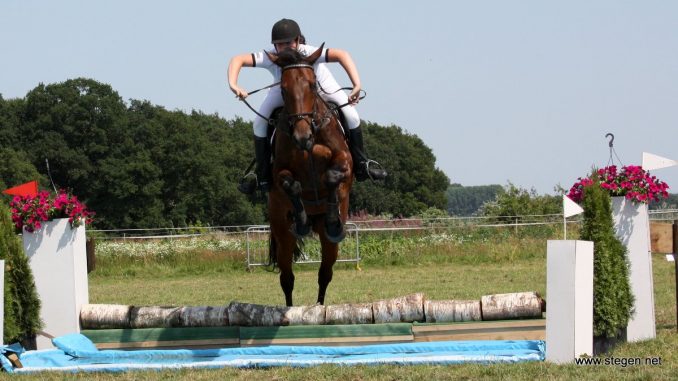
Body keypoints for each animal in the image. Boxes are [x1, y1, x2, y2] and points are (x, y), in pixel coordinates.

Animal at [266, 43, 354, 306]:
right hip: (282, 234)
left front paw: (333, 219)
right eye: (283, 90)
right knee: (287, 278)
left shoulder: (345, 161)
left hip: (329, 244)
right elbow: (291, 184)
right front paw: (302, 221)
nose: (302, 137)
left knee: (325, 273)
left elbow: (333, 176)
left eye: (313, 85)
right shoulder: (279, 172)